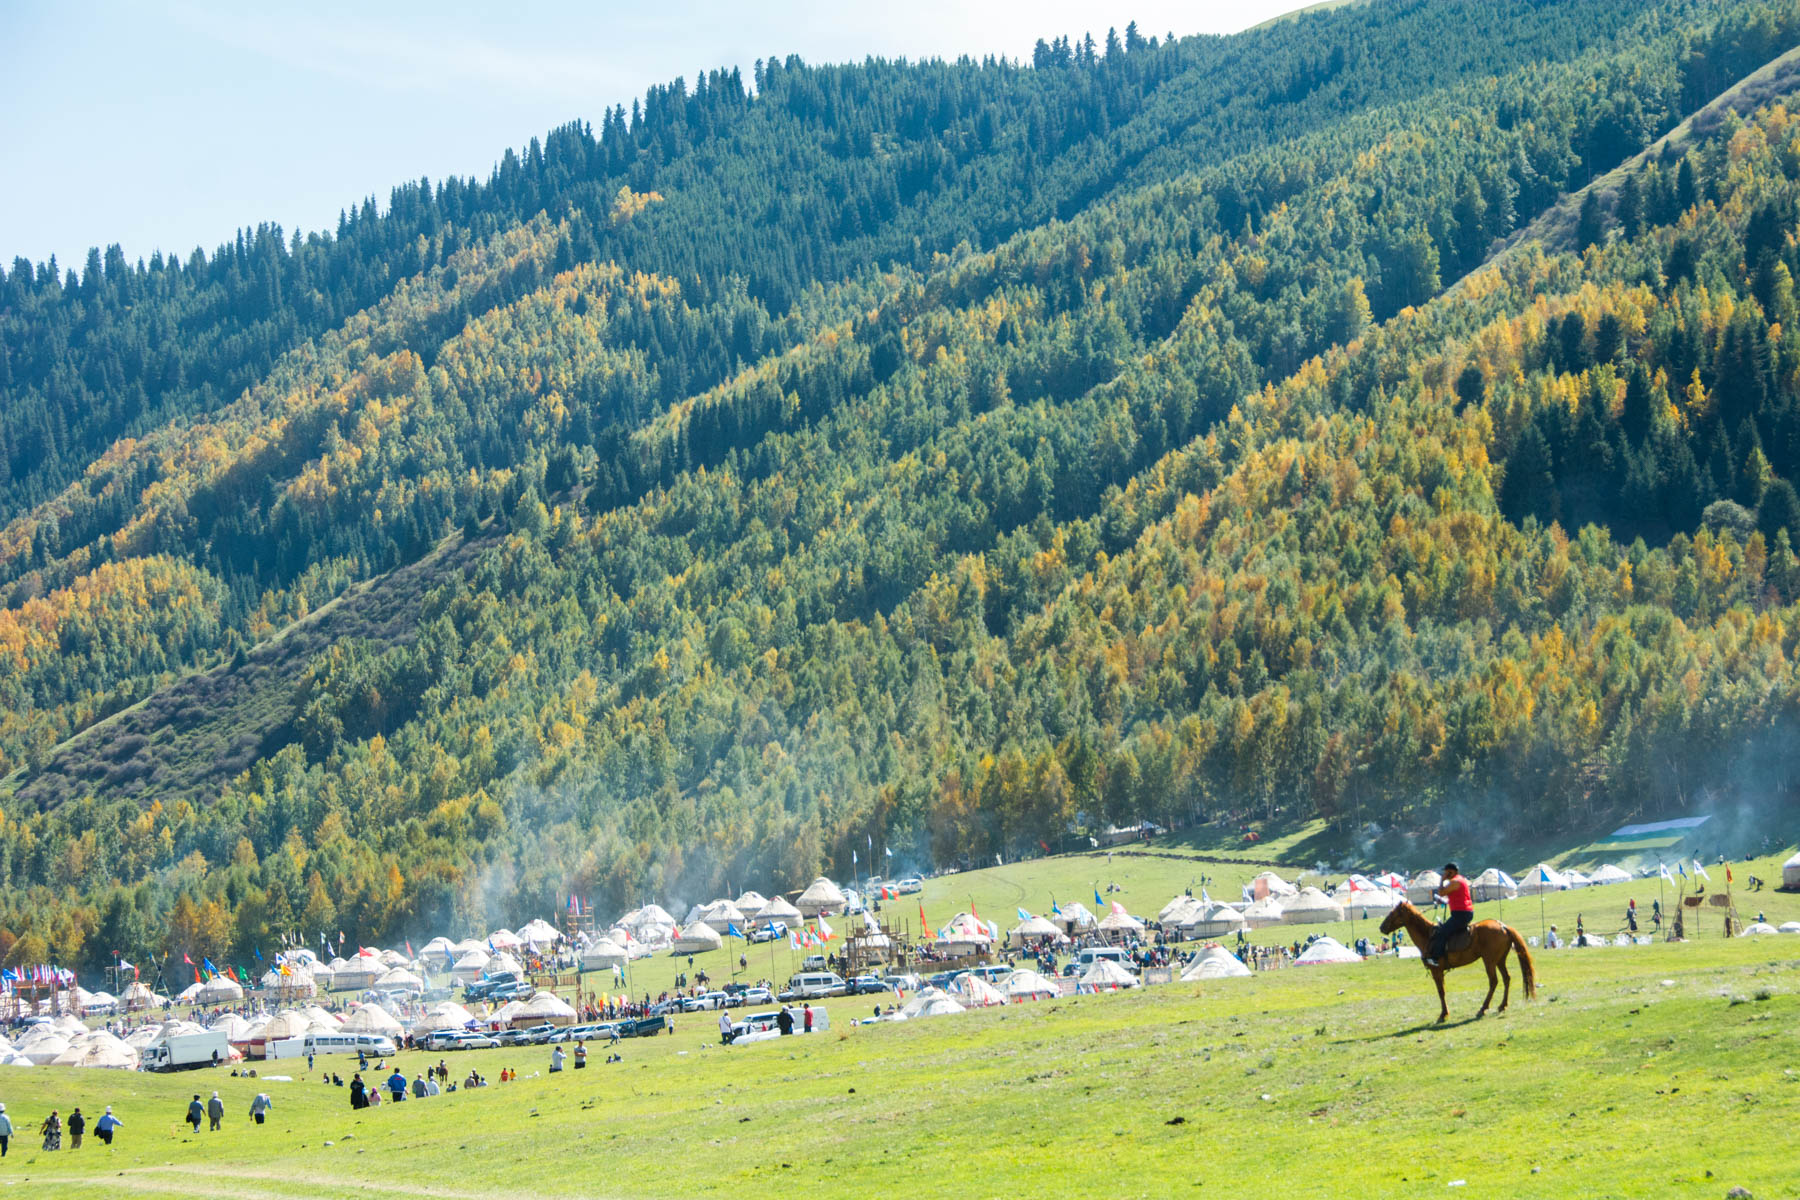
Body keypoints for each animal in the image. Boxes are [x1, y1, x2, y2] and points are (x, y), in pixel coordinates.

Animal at [1375, 899, 1533, 1021]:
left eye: (1393, 913)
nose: (1381, 927)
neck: (1427, 936)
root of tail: (1503, 926)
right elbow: (1442, 991)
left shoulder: (1436, 971)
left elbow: (1441, 992)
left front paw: (1443, 1014)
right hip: (1499, 960)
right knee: (1506, 978)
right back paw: (1502, 1006)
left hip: (1489, 961)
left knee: (1493, 981)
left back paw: (1483, 1008)